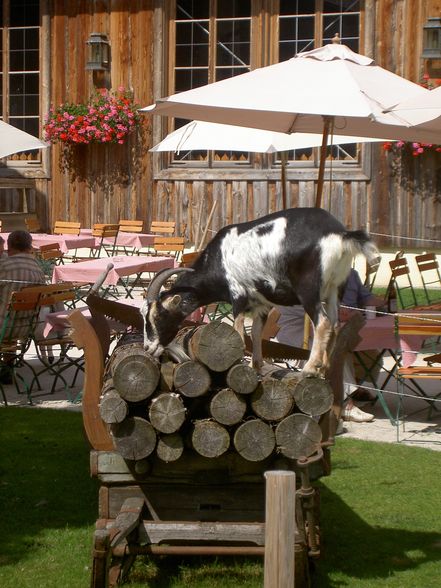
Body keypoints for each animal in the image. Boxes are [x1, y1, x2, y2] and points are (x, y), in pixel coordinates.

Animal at [141, 207, 378, 376]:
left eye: (158, 316)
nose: (148, 348)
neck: (217, 259)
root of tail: (340, 234)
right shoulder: (262, 304)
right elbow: (256, 332)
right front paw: (256, 366)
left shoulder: (238, 294)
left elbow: (238, 331)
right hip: (335, 289)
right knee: (336, 325)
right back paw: (324, 369)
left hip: (309, 289)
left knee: (323, 323)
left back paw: (310, 369)